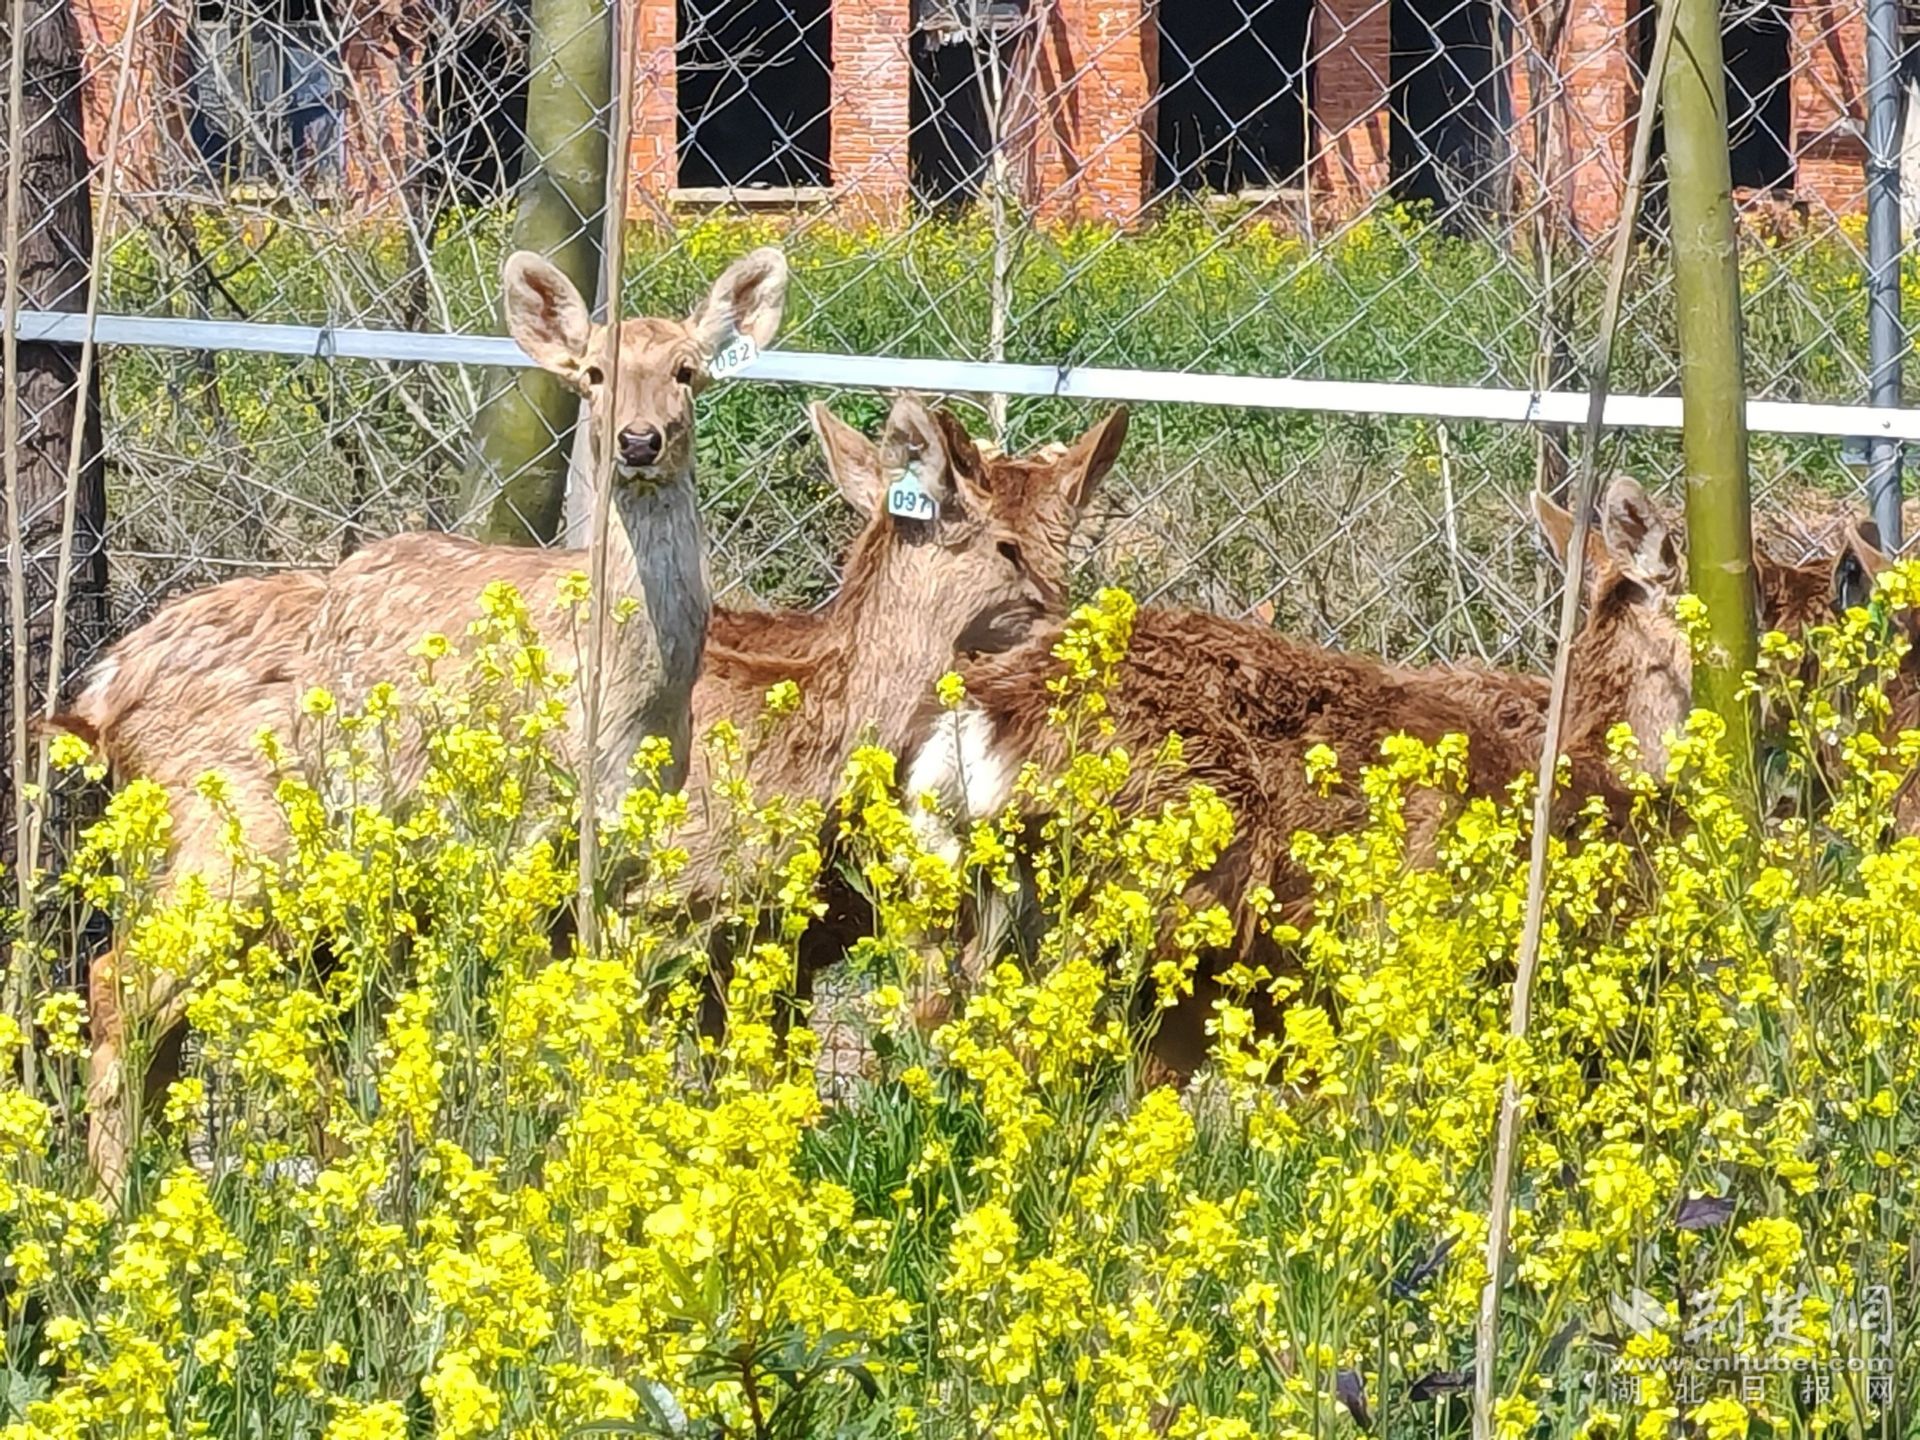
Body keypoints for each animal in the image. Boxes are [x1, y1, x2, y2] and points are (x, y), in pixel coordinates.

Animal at [55, 245, 788, 1192]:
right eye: (593, 373)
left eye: (688, 371)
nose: (638, 441)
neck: (629, 703)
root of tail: (106, 687)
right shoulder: (520, 842)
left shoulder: (625, 859)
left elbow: (603, 1016)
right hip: (228, 838)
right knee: (118, 983)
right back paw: (113, 1198)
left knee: (165, 1014)